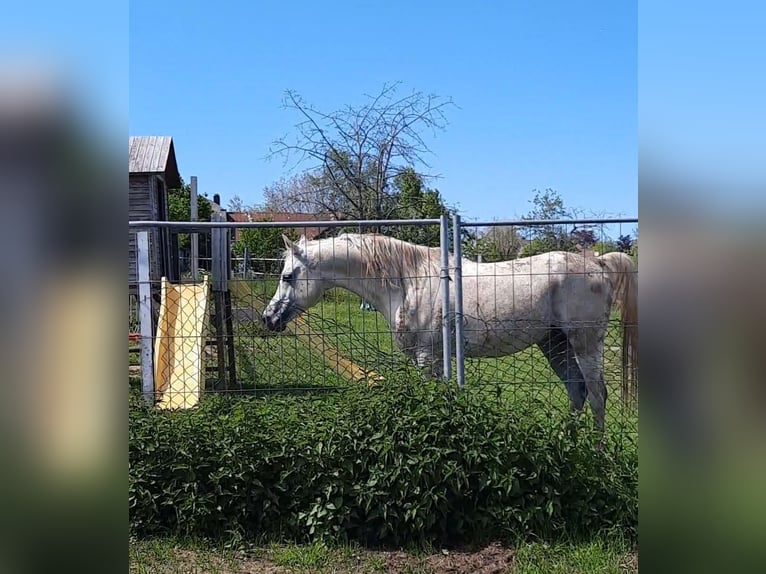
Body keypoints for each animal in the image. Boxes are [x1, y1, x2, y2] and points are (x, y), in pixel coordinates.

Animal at [262, 233, 638, 431]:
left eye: (287, 276)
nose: (269, 318)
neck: (409, 281)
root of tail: (598, 263)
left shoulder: (427, 359)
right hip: (555, 345)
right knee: (578, 393)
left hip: (584, 344)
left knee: (597, 396)